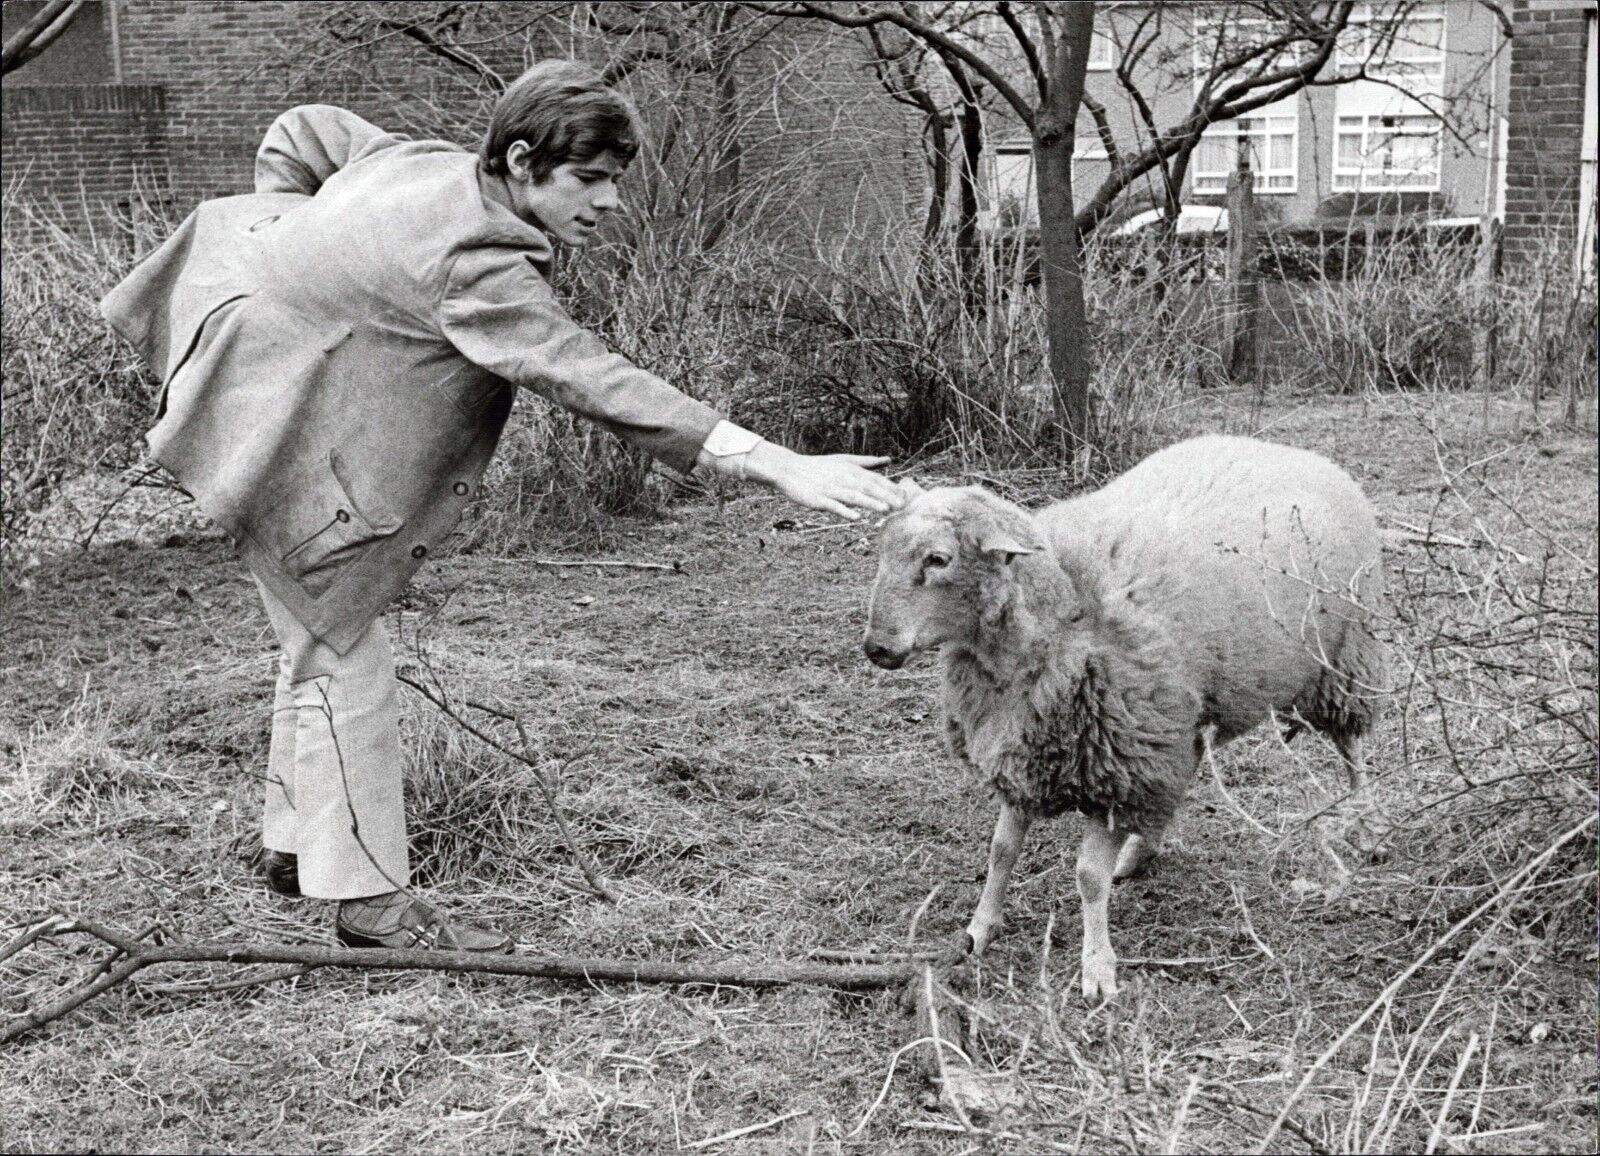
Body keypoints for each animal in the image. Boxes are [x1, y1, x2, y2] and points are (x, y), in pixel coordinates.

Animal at [864, 435, 1388, 999]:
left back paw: (1366, 823)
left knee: (1352, 748)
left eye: (938, 559)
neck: (1057, 618)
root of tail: (1291, 451)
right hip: (1179, 713)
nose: (876, 648)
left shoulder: (1115, 768)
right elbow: (1001, 851)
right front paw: (980, 929)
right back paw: (1139, 851)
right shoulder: (1027, 755)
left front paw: (1097, 968)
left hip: (1346, 656)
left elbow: (1087, 878)